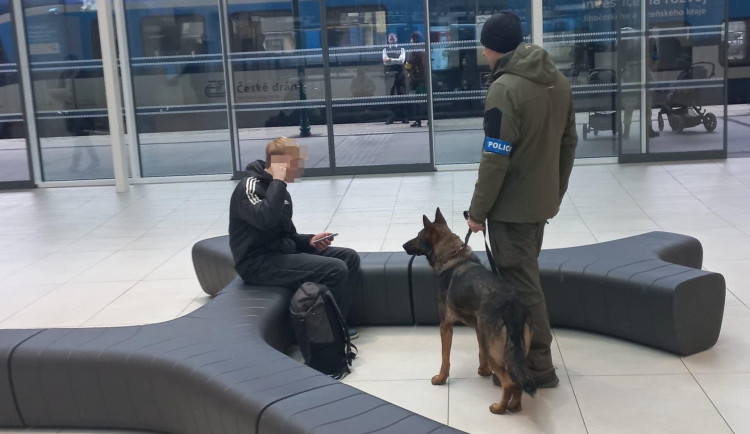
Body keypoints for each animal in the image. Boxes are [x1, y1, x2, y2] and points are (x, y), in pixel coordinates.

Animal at [402, 209, 536, 416]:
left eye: (418, 236)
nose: (403, 245)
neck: (452, 256)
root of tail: (511, 305)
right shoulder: (478, 329)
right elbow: (480, 353)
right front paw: (483, 371)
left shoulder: (445, 325)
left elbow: (445, 358)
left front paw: (441, 378)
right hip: (516, 352)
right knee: (517, 381)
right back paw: (514, 405)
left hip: (495, 351)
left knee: (509, 383)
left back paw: (500, 407)